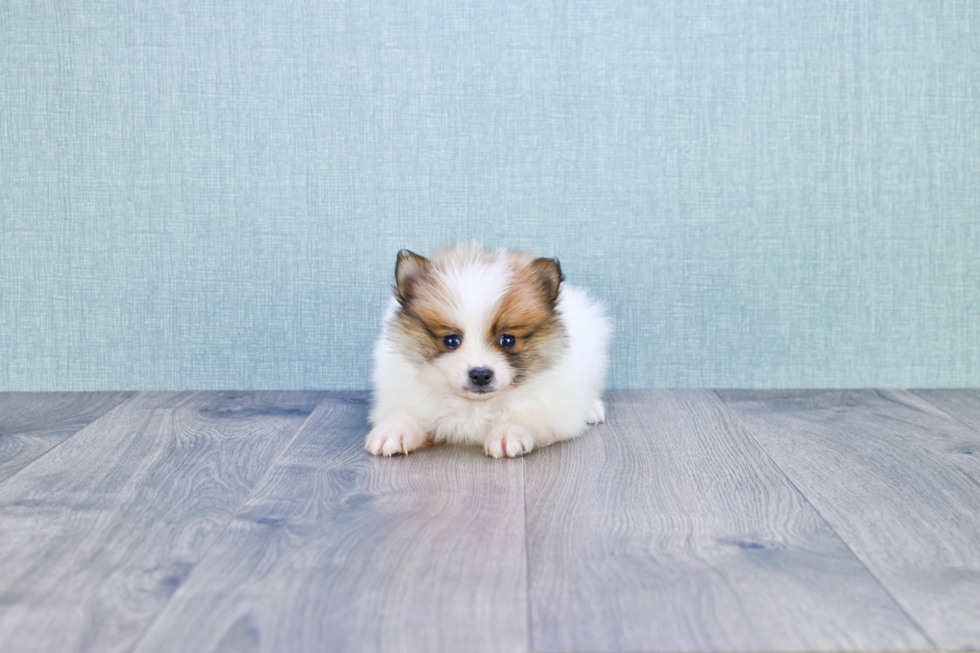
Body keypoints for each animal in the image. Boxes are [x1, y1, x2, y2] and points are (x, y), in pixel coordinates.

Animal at [368, 244, 612, 458]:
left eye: (508, 340)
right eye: (450, 340)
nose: (480, 374)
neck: (474, 405)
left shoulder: (555, 410)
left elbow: (526, 414)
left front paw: (508, 432)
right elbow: (406, 412)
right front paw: (393, 431)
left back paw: (592, 409)